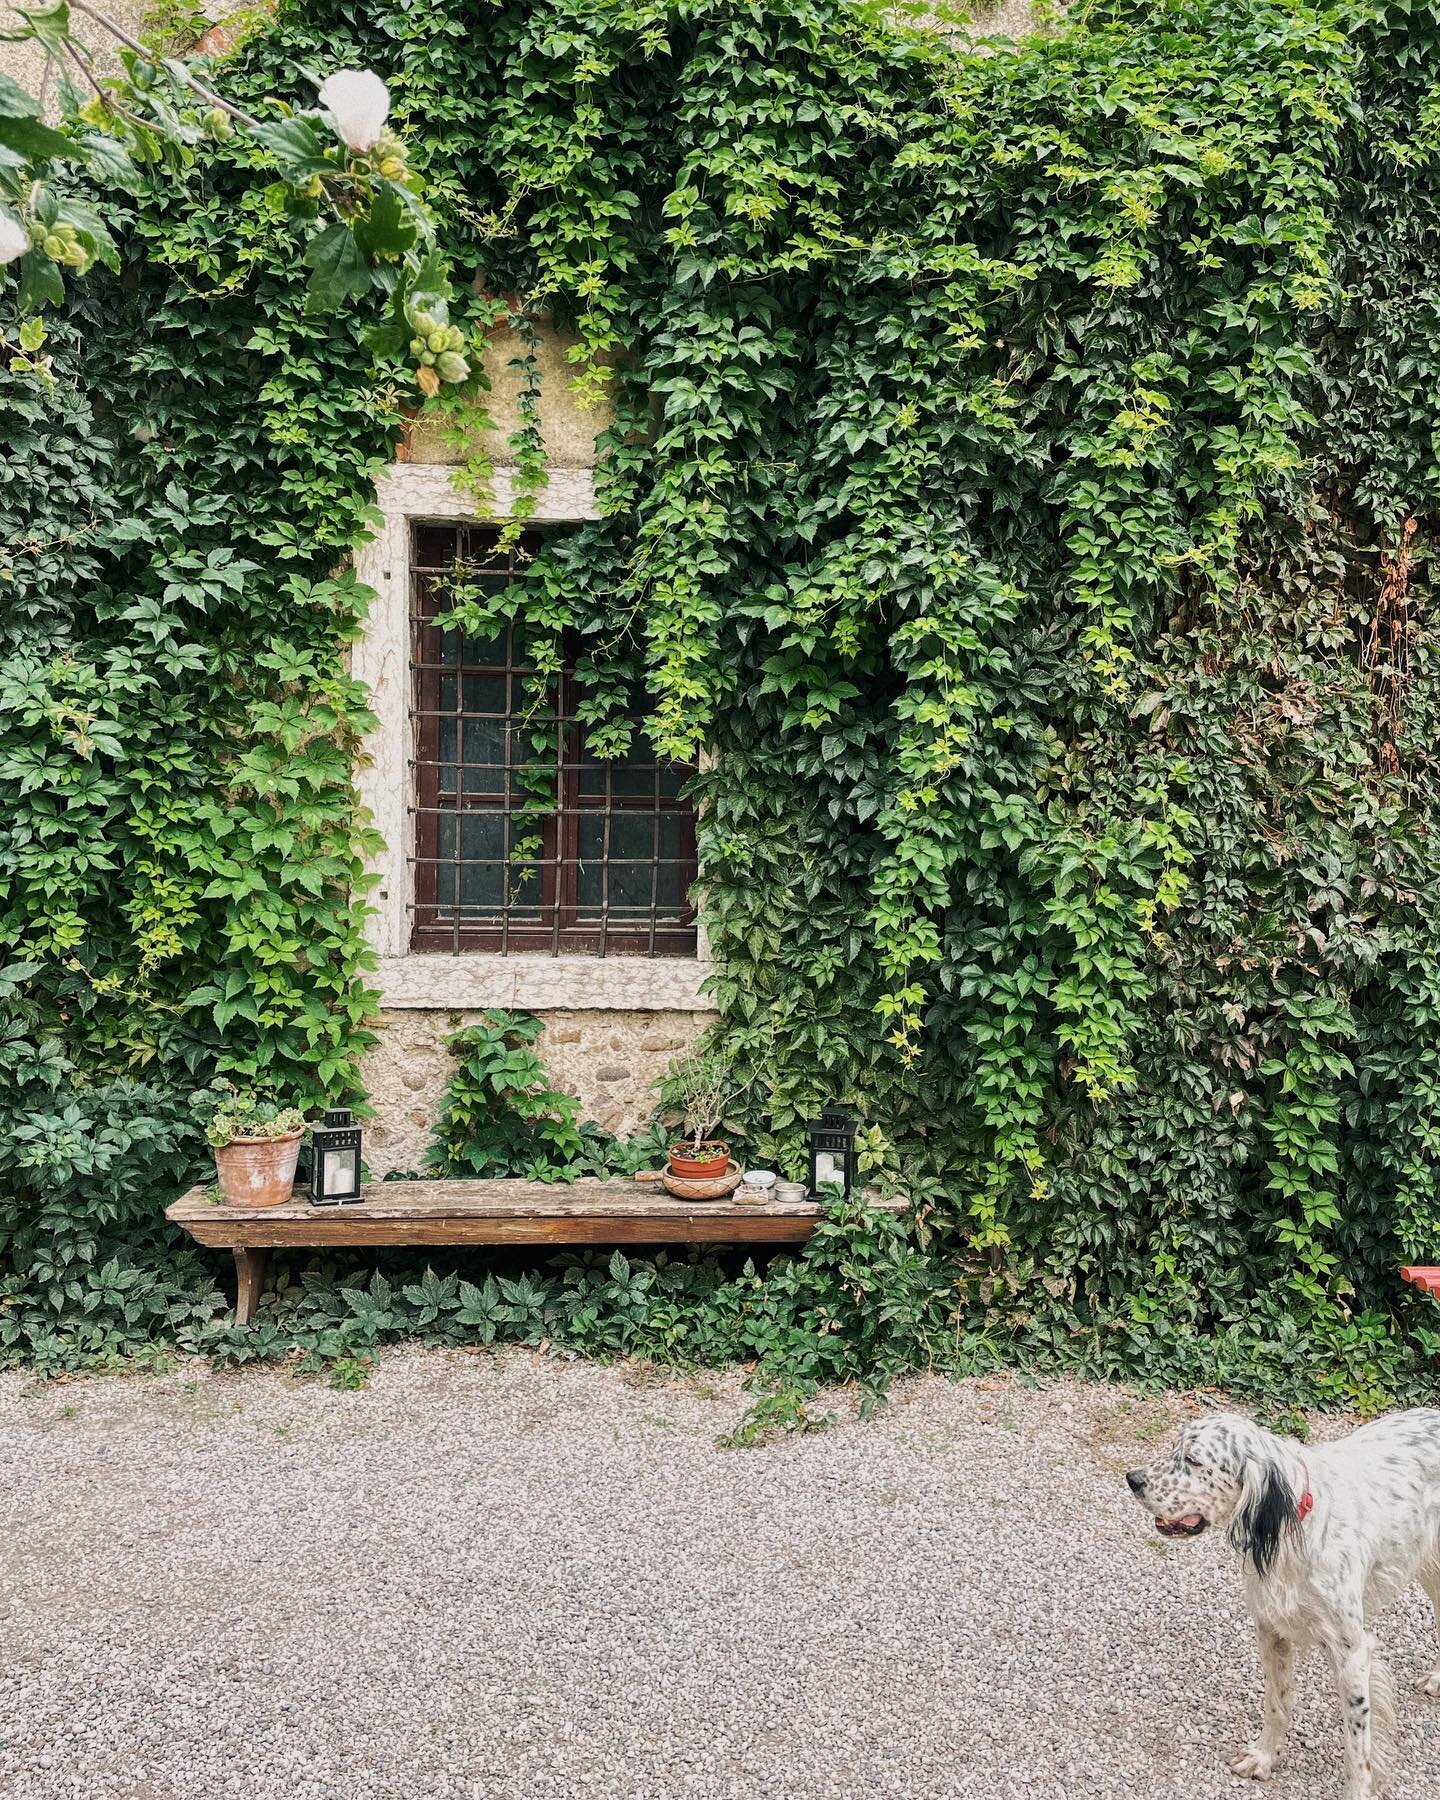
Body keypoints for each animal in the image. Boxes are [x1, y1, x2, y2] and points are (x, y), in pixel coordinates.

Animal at [1116, 1411, 1440, 1792]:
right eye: (1174, 1446)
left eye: (1193, 1461)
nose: (1132, 1479)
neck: (1293, 1526)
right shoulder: (1271, 1632)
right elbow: (1275, 1703)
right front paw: (1264, 1757)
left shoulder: (1351, 1654)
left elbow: (1357, 1748)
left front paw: (1357, 1790)